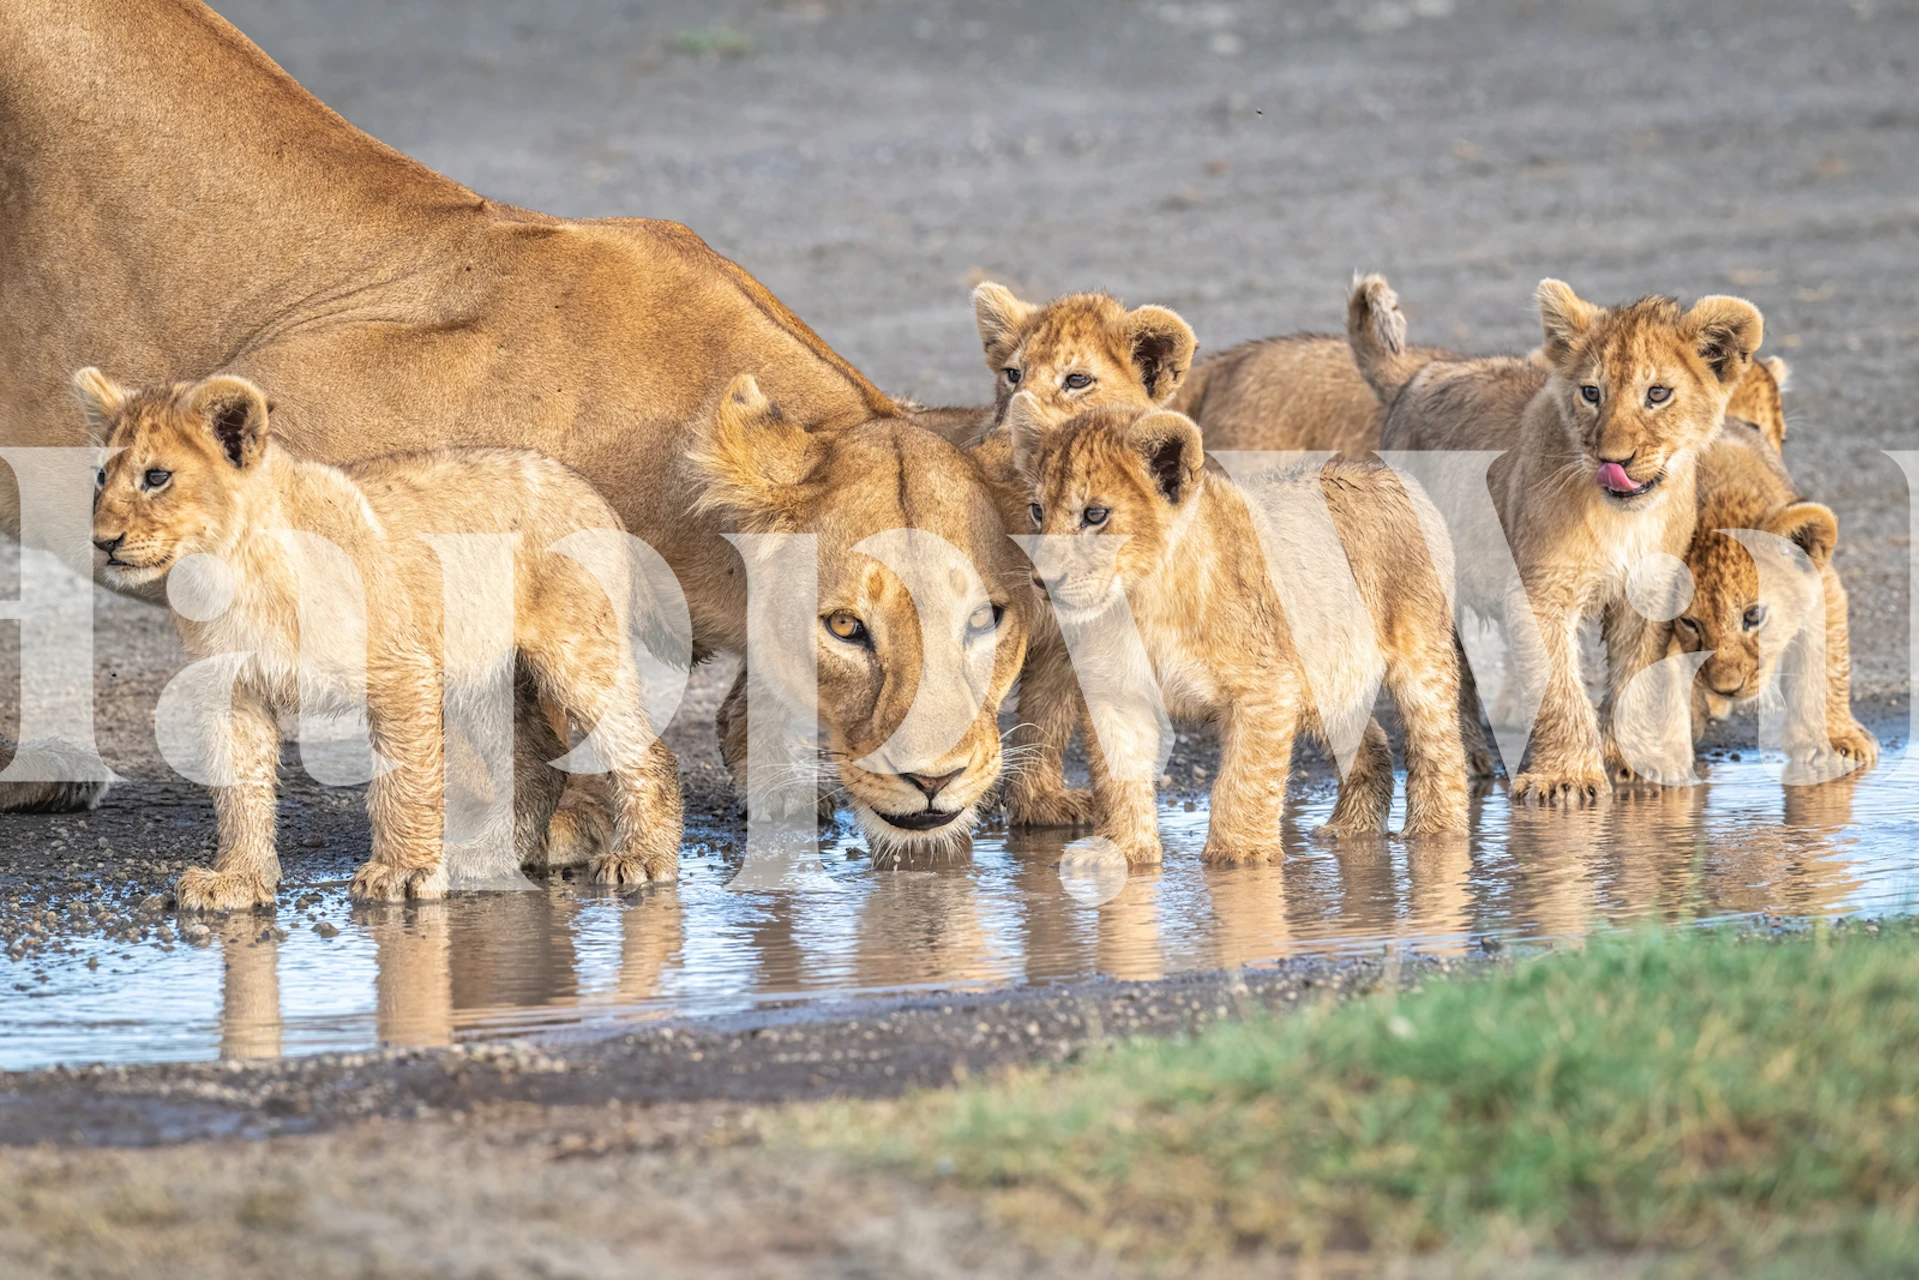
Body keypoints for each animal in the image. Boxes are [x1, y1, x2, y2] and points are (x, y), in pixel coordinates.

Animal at [78, 369, 682, 909]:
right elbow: (240, 791)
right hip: (484, 672)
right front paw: (238, 879)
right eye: (101, 478)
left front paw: (402, 872)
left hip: (574, 651)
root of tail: (586, 487)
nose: (102, 542)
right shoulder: (235, 687)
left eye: (157, 477)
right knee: (535, 759)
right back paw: (482, 857)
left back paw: (643, 858)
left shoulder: (400, 668)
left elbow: (404, 779)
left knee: (646, 750)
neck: (232, 569)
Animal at [1009, 392, 1469, 863]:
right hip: (1332, 675)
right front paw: (1122, 852)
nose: (1042, 579)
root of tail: (1392, 475)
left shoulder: (1266, 686)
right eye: (1037, 511)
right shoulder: (1116, 692)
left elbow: (1245, 778)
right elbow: (1117, 776)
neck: (1145, 602)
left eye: (1095, 514)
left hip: (1421, 653)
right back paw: (1350, 827)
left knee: (1439, 746)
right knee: (1371, 742)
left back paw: (1435, 835)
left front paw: (1238, 856)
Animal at [1350, 273, 1764, 803]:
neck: (1624, 519)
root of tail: (1421, 373)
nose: (1614, 458)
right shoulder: (1538, 592)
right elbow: (1558, 689)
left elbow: (1635, 678)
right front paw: (1567, 778)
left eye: (1657, 394)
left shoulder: (1647, 594)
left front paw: (1632, 764)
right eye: (1591, 393)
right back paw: (1469, 758)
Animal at [1670, 357, 1878, 768]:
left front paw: (1836, 742)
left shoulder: (1823, 584)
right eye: (1690, 622)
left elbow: (1826, 664)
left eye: (1754, 616)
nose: (1727, 688)